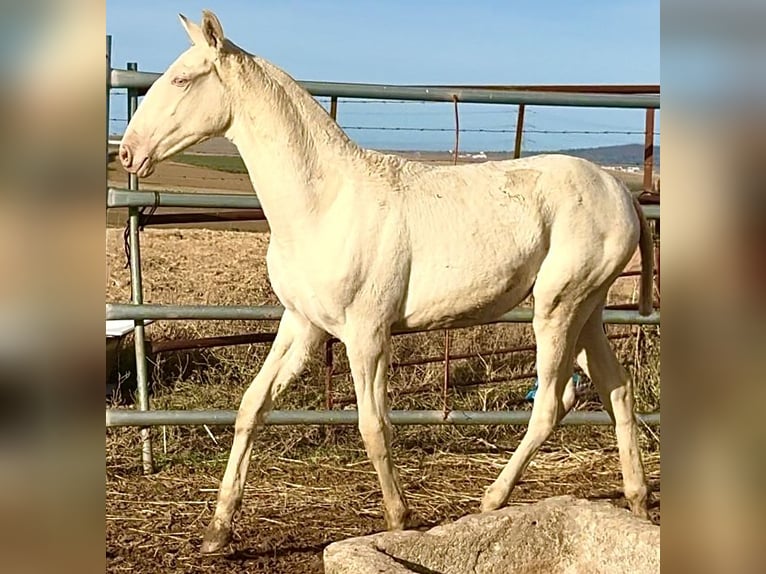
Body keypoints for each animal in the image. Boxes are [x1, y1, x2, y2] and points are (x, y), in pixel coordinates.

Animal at [119, 11, 654, 554]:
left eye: (182, 79)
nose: (128, 153)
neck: (324, 204)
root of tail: (622, 193)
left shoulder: (366, 333)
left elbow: (373, 425)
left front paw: (399, 519)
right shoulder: (302, 325)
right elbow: (252, 406)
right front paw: (217, 530)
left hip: (557, 307)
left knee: (551, 402)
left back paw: (492, 501)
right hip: (586, 309)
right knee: (617, 388)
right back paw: (636, 500)